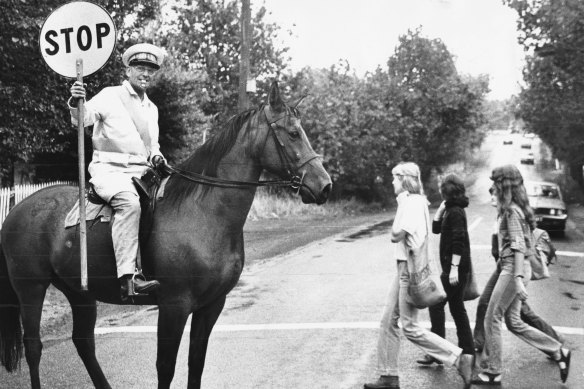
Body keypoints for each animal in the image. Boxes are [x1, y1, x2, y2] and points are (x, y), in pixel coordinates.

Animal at [0, 82, 330, 388]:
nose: (324, 185)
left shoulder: (212, 306)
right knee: (34, 347)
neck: (202, 214)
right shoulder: (174, 306)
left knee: (84, 342)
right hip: (31, 288)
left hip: (79, 292)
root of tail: (16, 211)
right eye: (292, 133)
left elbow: (196, 363)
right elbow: (166, 367)